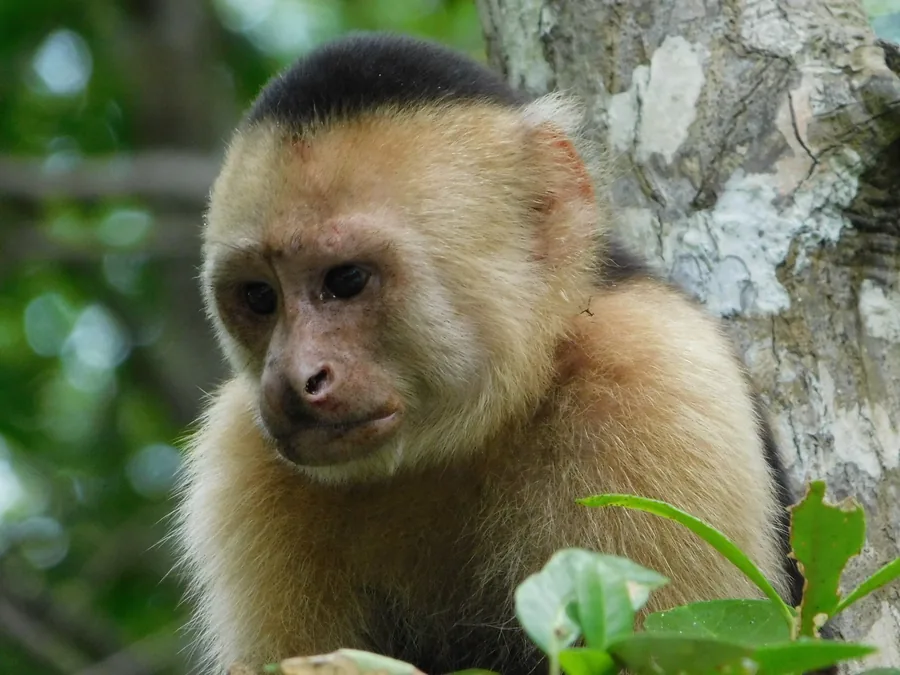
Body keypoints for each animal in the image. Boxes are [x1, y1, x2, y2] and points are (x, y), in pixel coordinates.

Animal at [174, 32, 806, 675]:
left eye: (346, 280)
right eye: (259, 296)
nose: (292, 378)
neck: (462, 439)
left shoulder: (657, 385)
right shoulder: (242, 456)